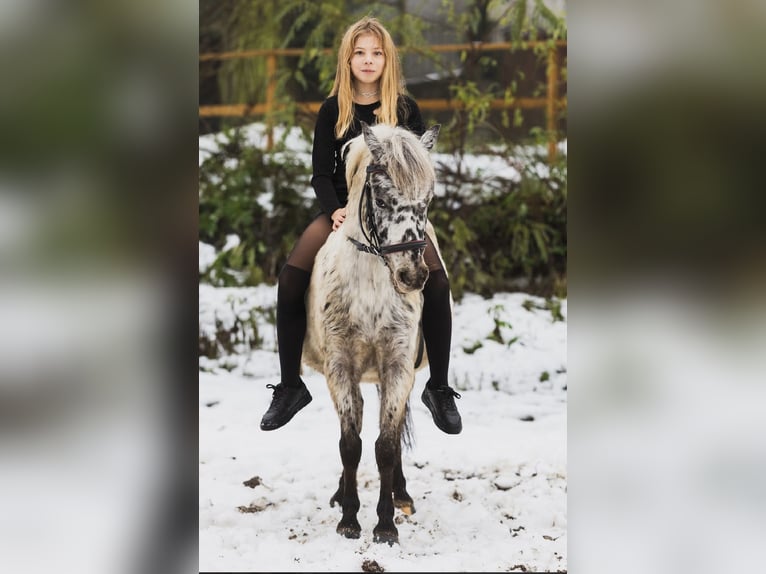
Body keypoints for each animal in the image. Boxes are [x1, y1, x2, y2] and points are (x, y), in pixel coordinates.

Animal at [301, 121, 443, 545]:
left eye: (428, 199)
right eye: (380, 197)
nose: (411, 276)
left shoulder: (397, 366)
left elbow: (386, 446)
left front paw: (385, 525)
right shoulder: (340, 367)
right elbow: (351, 443)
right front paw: (349, 519)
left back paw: (402, 495)